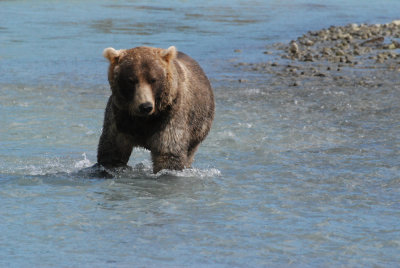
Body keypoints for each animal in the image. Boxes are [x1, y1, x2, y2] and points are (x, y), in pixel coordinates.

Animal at [96, 45, 216, 174]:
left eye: (153, 79)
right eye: (131, 80)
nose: (145, 106)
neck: (146, 119)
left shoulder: (170, 116)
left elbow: (168, 153)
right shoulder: (120, 117)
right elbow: (112, 151)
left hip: (198, 127)